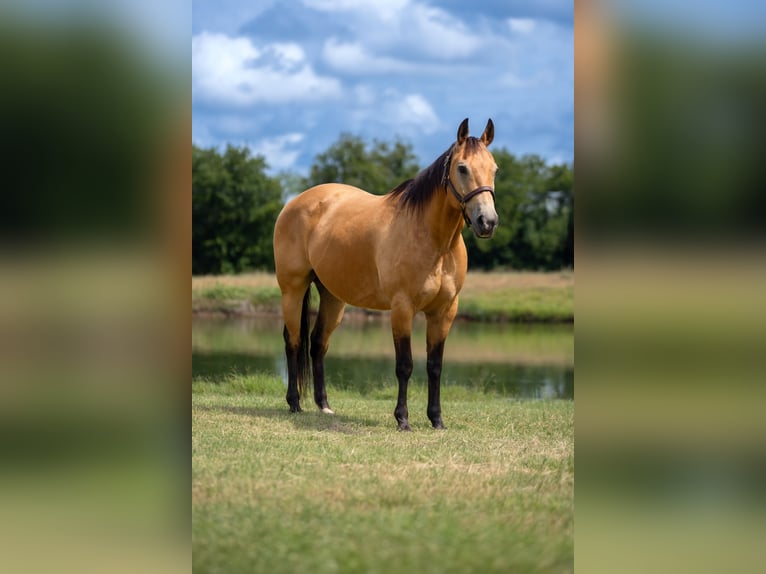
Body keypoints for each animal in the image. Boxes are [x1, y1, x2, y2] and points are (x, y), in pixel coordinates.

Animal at [273, 118, 498, 430]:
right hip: (292, 289)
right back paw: (294, 402)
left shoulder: (444, 311)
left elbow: (435, 366)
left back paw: (324, 406)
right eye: (462, 168)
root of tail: (295, 203)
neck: (434, 242)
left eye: (494, 169)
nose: (487, 221)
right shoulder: (402, 308)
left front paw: (436, 419)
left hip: (333, 297)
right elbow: (404, 365)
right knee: (293, 341)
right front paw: (402, 419)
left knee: (318, 344)